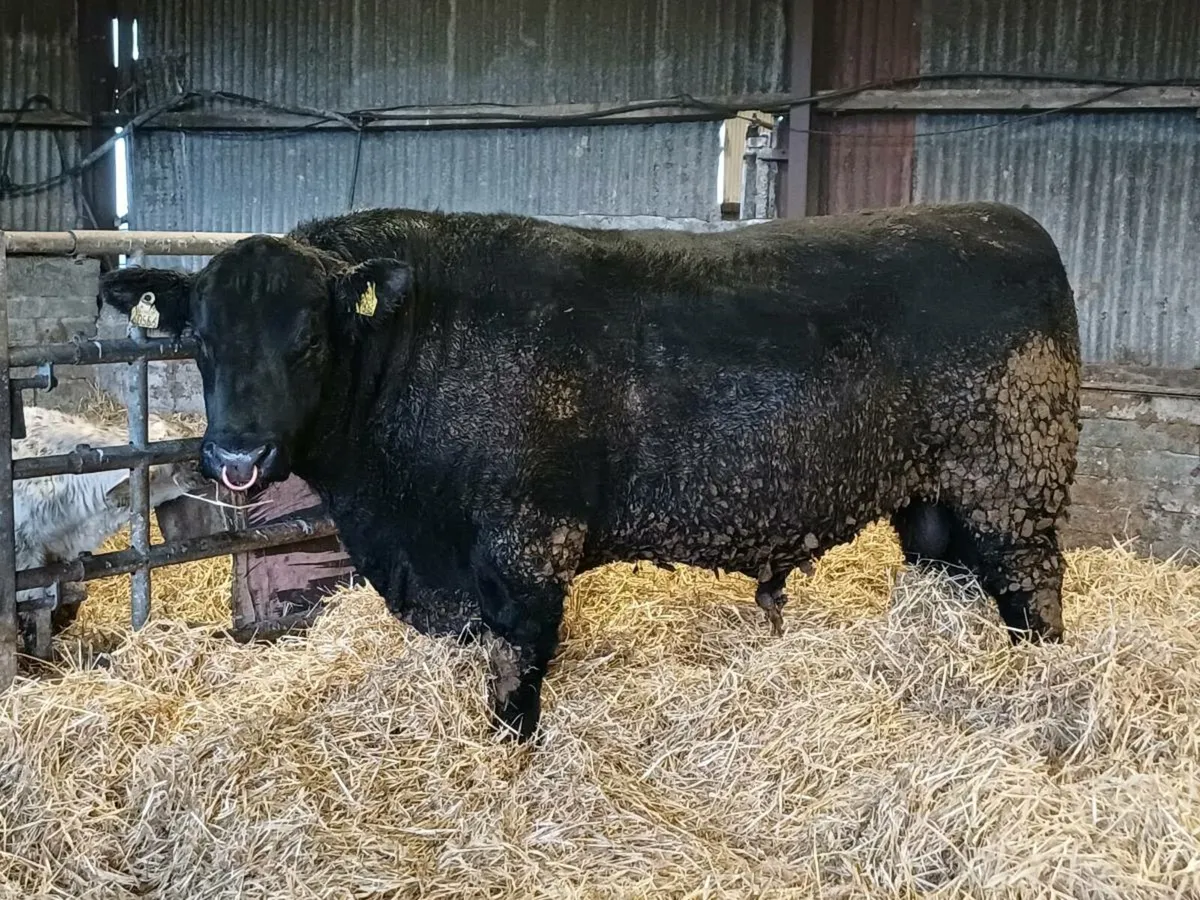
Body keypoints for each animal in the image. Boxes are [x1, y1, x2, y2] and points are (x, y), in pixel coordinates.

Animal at [97, 201, 1082, 741]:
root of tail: (1007, 222)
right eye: (198, 339)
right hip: (934, 498)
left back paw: (1043, 687)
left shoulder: (525, 540)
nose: (236, 455)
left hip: (1014, 483)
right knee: (949, 574)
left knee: (1033, 592)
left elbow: (519, 664)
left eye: (308, 338)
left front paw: (508, 755)